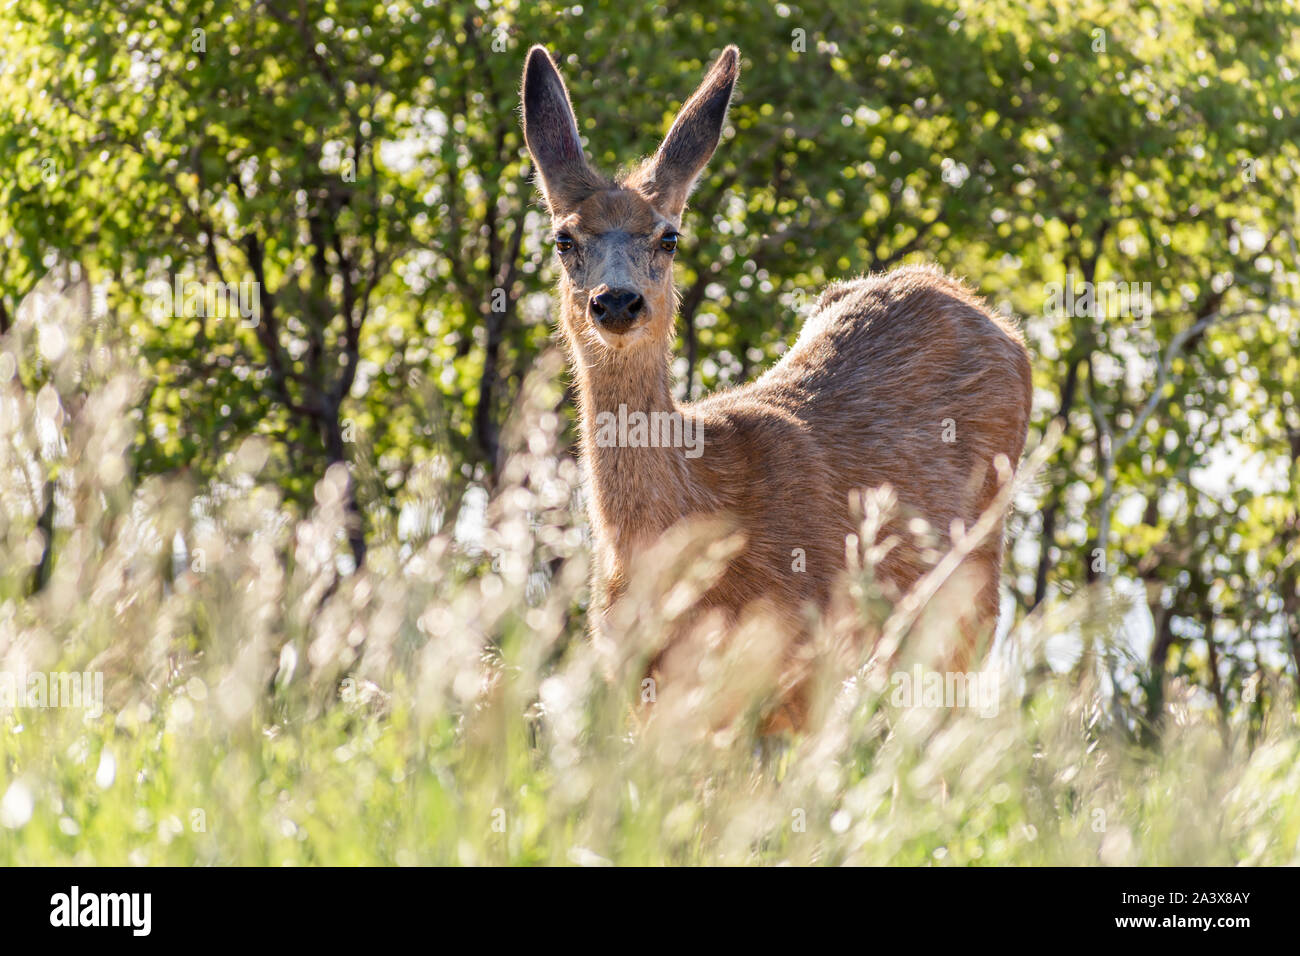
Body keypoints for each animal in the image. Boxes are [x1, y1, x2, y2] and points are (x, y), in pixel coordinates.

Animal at [520, 45, 1033, 728]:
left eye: (668, 236)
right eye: (564, 238)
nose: (618, 302)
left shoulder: (805, 652)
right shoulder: (635, 674)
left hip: (970, 586)